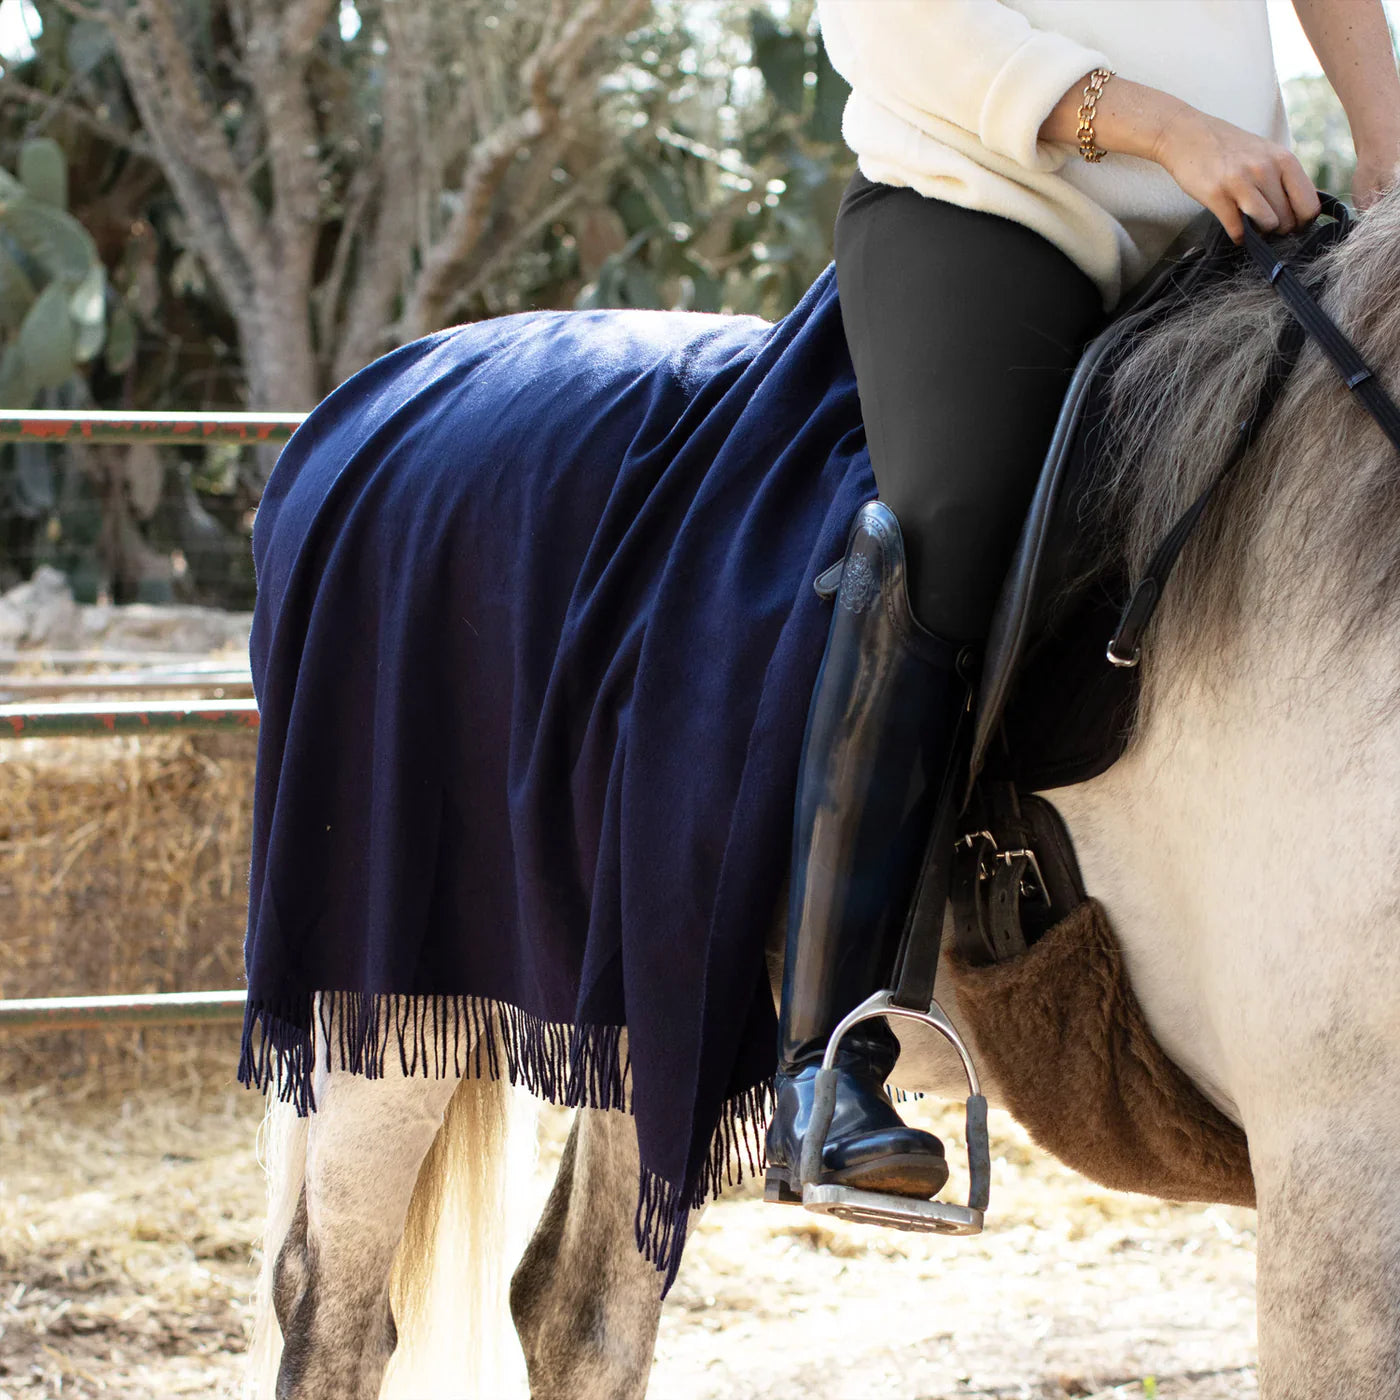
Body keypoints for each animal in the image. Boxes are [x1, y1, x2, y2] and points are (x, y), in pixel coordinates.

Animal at [244, 186, 1400, 1400]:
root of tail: (386, 389)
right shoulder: (1336, 1169)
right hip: (378, 999)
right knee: (333, 1311)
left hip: (644, 995)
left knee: (576, 1311)